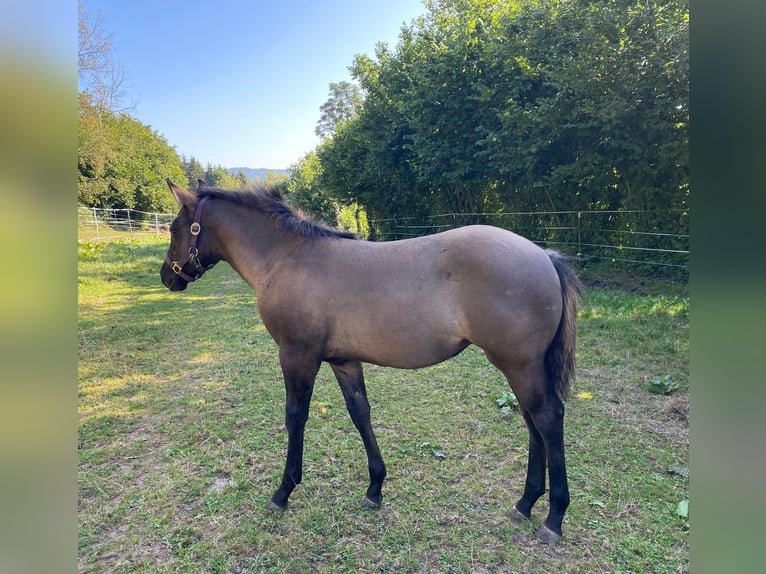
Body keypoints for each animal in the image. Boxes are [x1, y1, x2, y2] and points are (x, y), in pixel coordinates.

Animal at [162, 180, 584, 544]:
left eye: (173, 228)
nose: (168, 276)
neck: (287, 258)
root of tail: (545, 256)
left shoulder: (297, 355)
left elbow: (295, 417)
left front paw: (283, 492)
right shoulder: (343, 360)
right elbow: (360, 412)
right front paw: (375, 488)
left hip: (520, 364)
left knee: (547, 419)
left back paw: (553, 517)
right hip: (520, 367)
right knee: (532, 422)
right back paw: (525, 504)